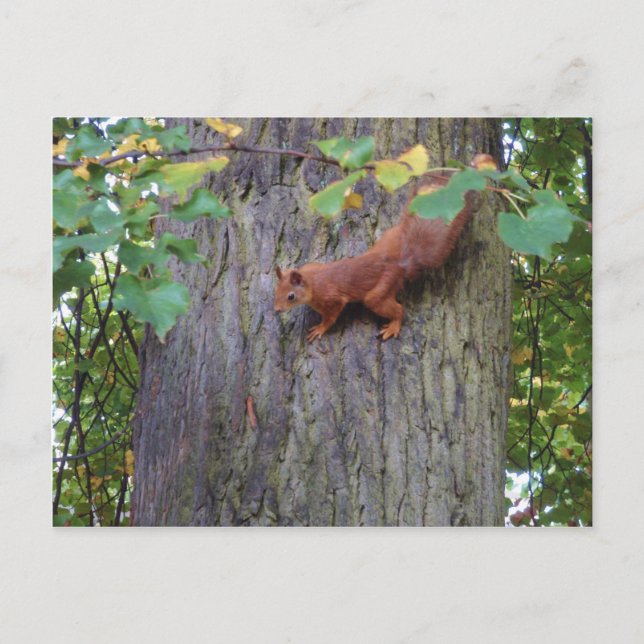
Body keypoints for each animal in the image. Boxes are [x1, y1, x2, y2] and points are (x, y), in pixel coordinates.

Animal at [274, 153, 495, 342]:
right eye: (276, 290)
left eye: (291, 296)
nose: (276, 309)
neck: (312, 282)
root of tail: (401, 264)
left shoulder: (331, 298)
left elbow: (332, 315)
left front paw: (320, 328)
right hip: (390, 238)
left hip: (382, 289)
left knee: (397, 309)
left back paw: (394, 325)